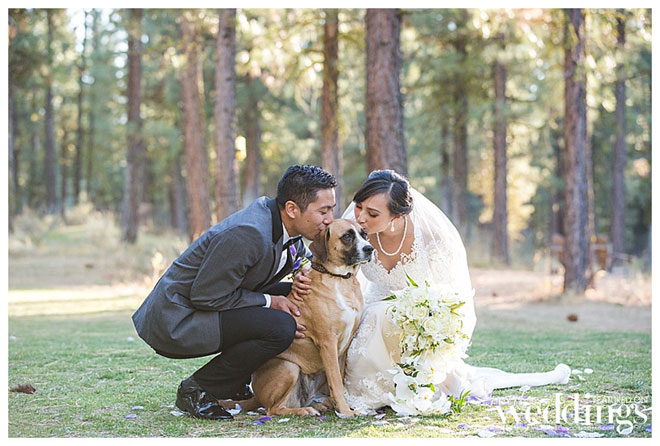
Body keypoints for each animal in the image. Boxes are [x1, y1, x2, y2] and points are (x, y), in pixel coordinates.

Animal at [222, 220, 374, 418]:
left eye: (364, 234)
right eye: (347, 236)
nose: (369, 248)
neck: (339, 279)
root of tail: (256, 397)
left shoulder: (343, 348)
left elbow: (338, 379)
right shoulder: (328, 343)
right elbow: (336, 383)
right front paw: (346, 411)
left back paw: (320, 405)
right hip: (289, 367)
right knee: (274, 409)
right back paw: (305, 410)